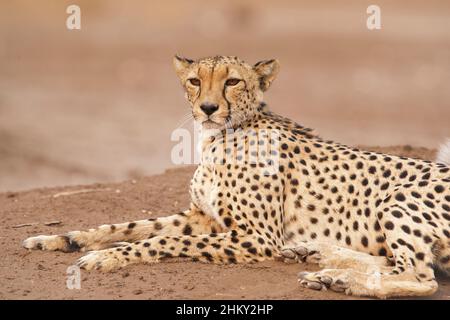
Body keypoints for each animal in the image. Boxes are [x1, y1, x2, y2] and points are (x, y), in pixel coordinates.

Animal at [22, 56, 450, 298]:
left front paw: (106, 258)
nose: (209, 108)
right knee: (401, 263)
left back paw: (346, 281)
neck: (221, 136)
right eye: (195, 81)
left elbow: (162, 241)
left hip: (399, 198)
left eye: (232, 81)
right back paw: (319, 259)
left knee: (422, 276)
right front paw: (61, 238)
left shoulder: (256, 237)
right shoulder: (201, 217)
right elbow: (127, 225)